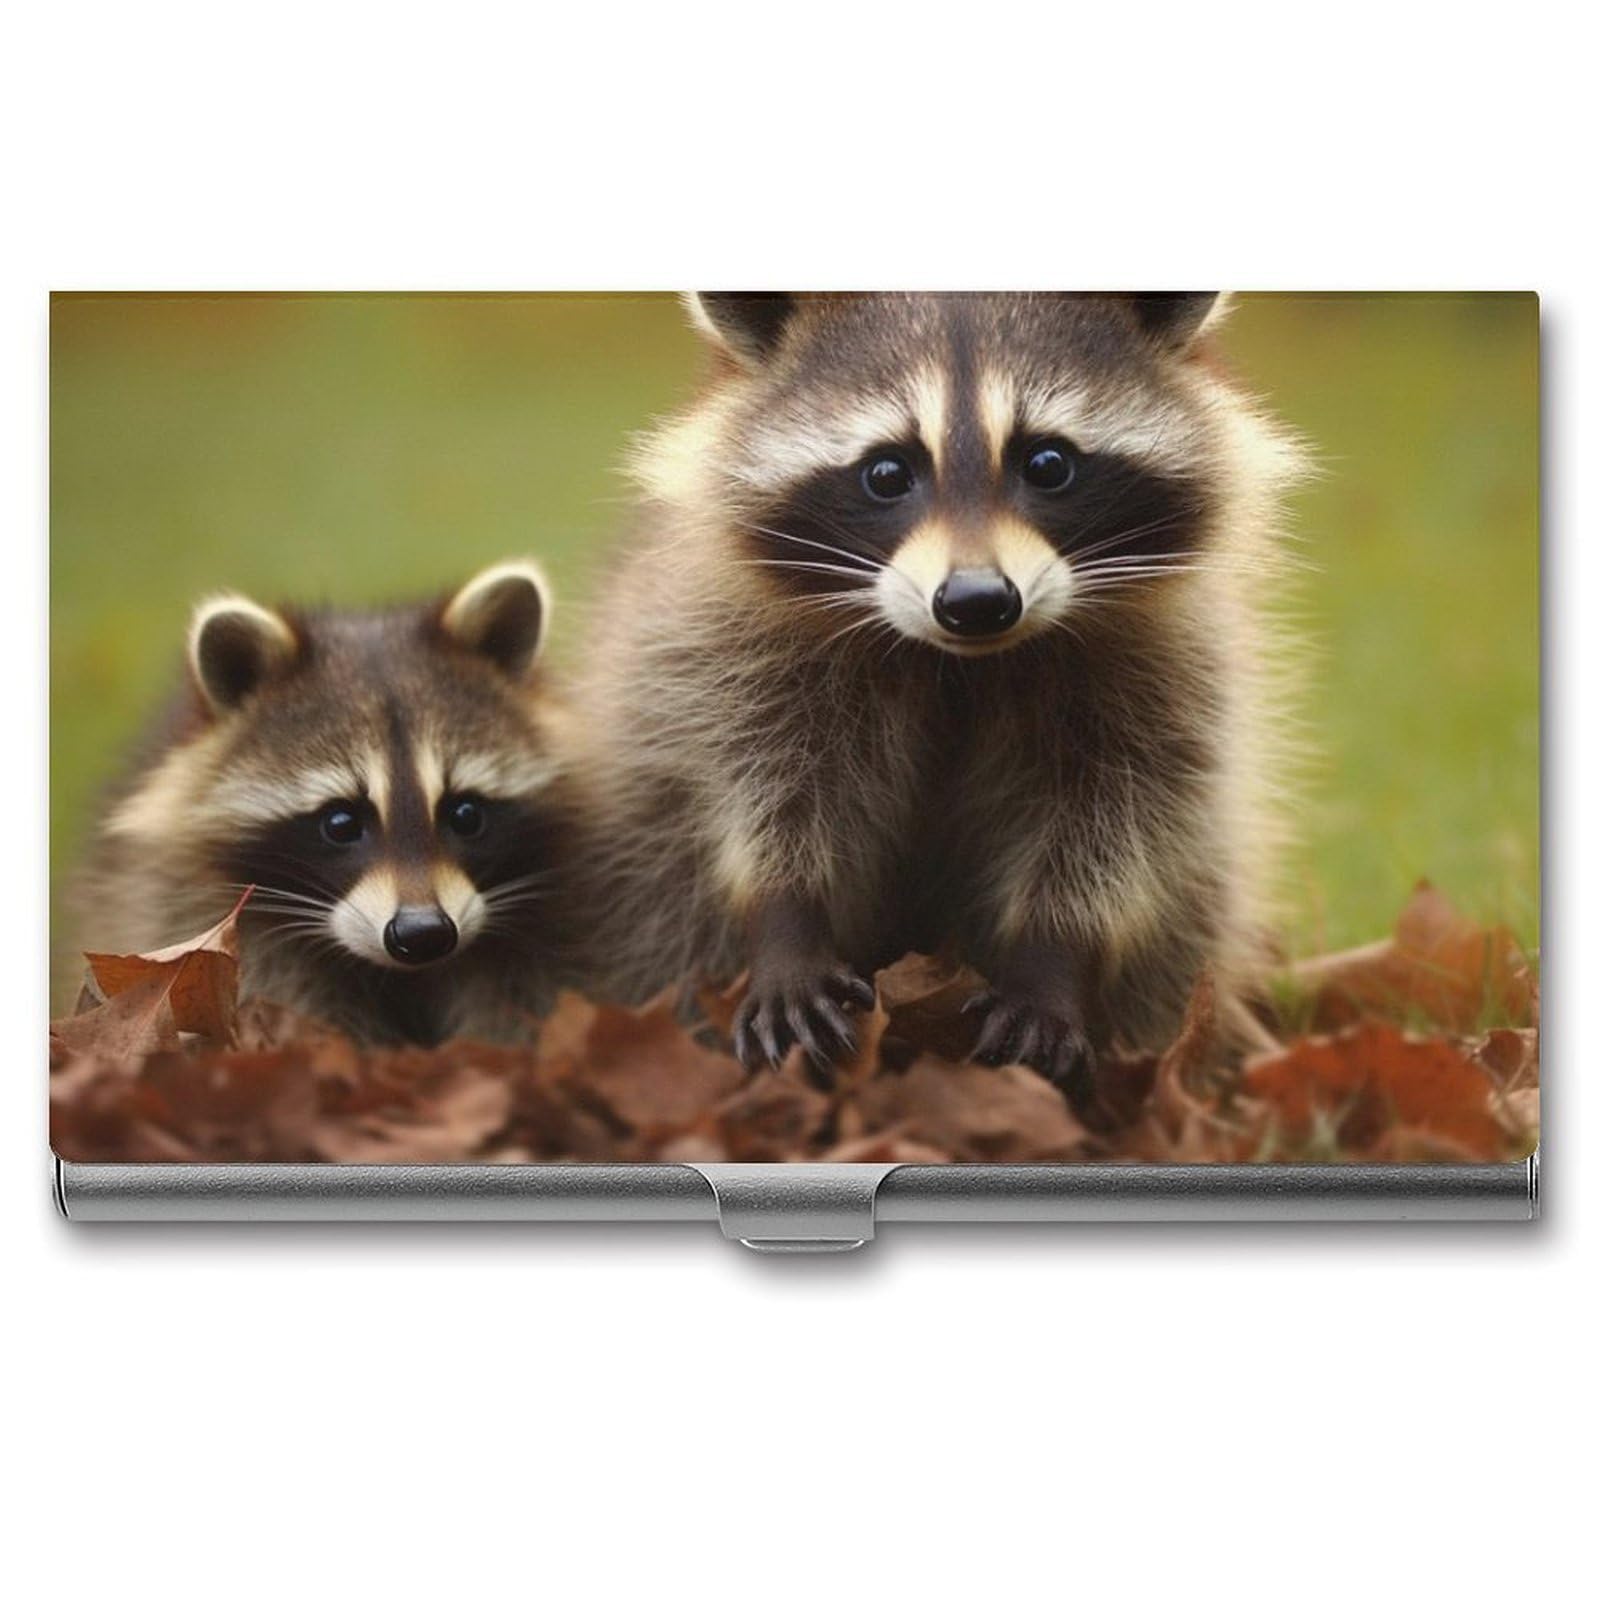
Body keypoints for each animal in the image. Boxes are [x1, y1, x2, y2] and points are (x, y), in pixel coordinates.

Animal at [572, 292, 1304, 1087]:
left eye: (1048, 464)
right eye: (887, 473)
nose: (978, 601)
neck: (959, 661)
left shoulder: (1165, 666)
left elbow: (1118, 817)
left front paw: (1054, 956)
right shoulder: (722, 650)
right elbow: (763, 785)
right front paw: (787, 920)